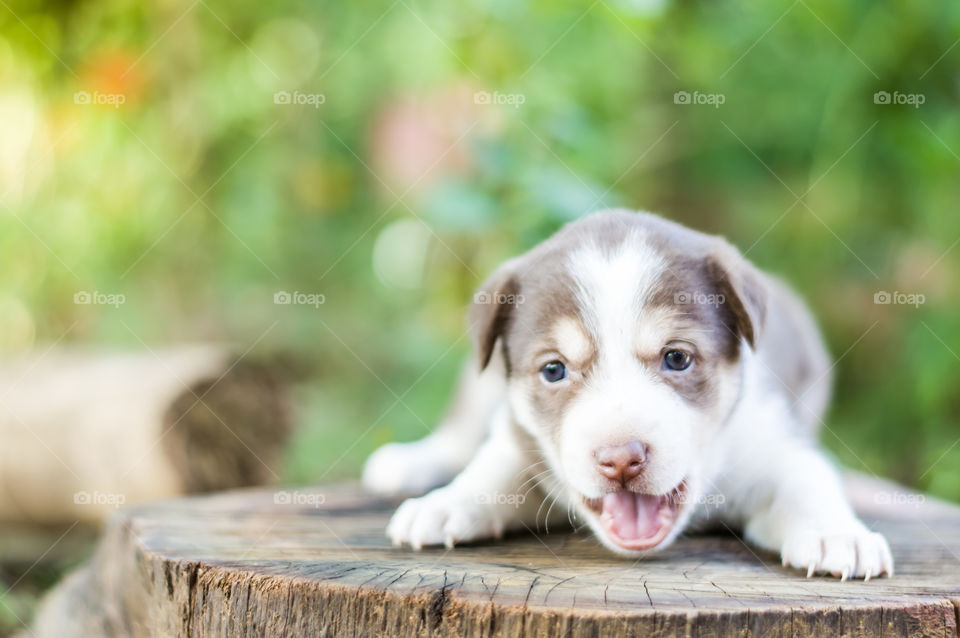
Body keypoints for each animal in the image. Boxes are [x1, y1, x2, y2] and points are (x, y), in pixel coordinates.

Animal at [364, 212, 896, 584]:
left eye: (677, 359)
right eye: (553, 370)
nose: (621, 460)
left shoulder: (773, 437)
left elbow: (808, 478)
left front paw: (837, 535)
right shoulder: (517, 431)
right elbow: (498, 461)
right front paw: (447, 503)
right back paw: (410, 464)